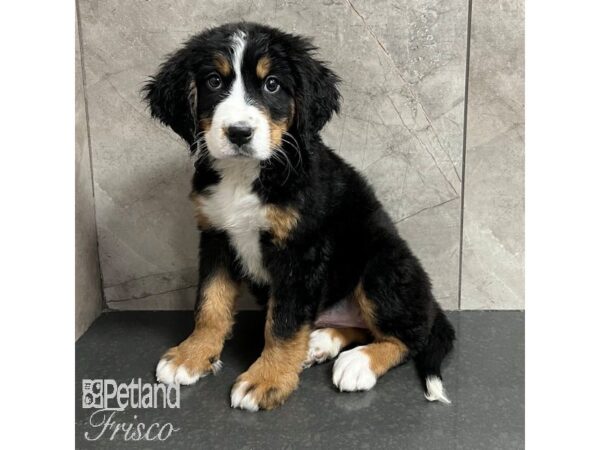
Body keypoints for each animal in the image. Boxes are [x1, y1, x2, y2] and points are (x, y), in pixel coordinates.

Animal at [145, 23, 454, 412]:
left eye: (272, 84)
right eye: (214, 81)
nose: (239, 133)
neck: (245, 174)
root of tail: (431, 303)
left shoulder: (300, 251)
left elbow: (283, 323)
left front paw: (266, 379)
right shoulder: (216, 236)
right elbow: (210, 303)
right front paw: (192, 355)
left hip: (382, 265)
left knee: (410, 336)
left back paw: (358, 363)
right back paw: (320, 342)